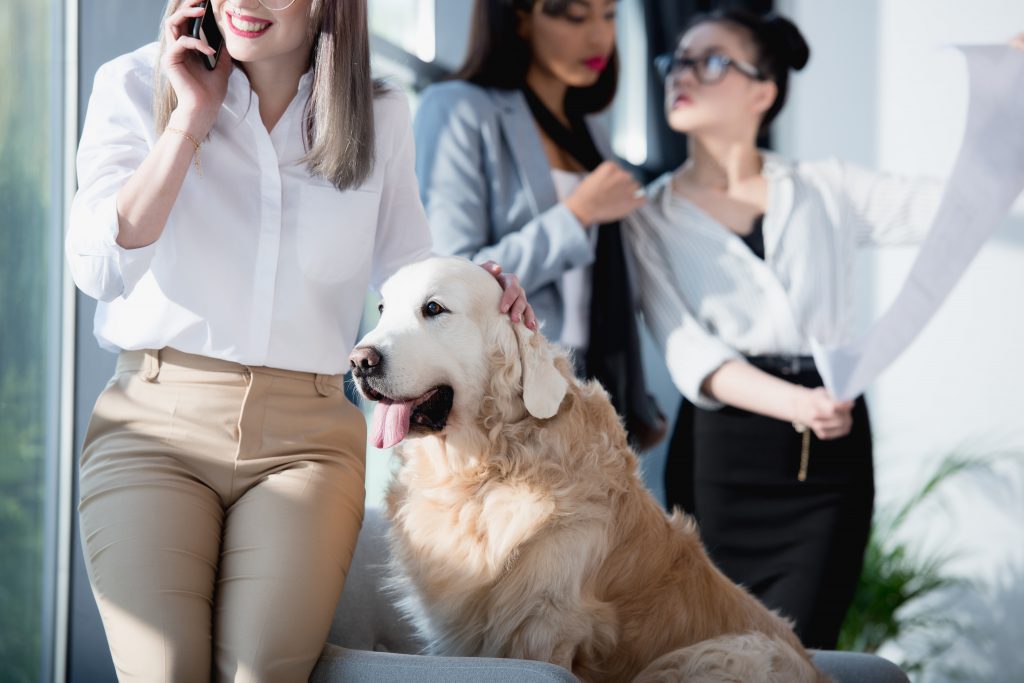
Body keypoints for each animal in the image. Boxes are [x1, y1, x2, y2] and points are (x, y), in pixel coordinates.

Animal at [352, 258, 831, 683]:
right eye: (382, 308)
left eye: (434, 308)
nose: (360, 361)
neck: (490, 466)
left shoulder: (545, 625)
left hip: (714, 655)